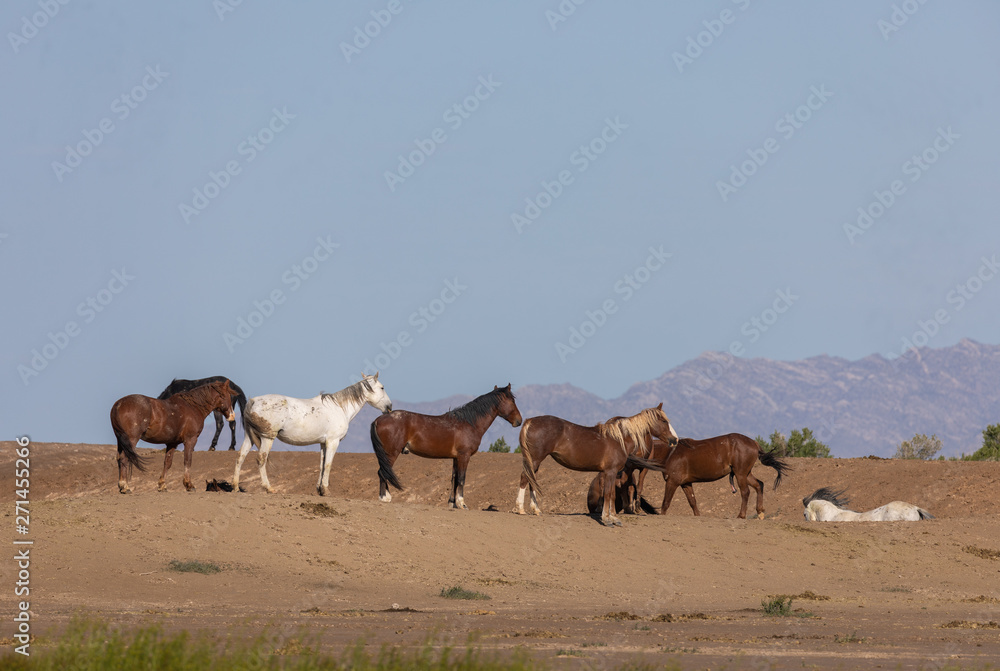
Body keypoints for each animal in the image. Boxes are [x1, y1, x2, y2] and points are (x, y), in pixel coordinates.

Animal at [232, 373, 392, 496]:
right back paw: (268, 488)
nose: (389, 407)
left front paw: (319, 489)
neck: (339, 407)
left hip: (249, 437)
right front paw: (326, 490)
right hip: (267, 438)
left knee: (240, 456)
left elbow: (321, 465)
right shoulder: (333, 442)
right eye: (382, 387)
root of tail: (253, 401)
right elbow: (328, 464)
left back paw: (235, 487)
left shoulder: (323, 443)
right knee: (261, 459)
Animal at [370, 384, 522, 509]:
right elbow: (462, 479)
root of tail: (378, 419)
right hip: (391, 453)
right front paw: (462, 504)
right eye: (512, 401)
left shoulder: (456, 458)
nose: (519, 421)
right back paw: (385, 498)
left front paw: (452, 503)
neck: (469, 423)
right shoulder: (464, 456)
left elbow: (454, 479)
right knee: (383, 472)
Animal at [514, 404, 679, 527]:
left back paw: (536, 509)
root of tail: (530, 421)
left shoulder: (611, 473)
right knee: (524, 478)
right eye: (664, 421)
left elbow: (611, 494)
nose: (675, 439)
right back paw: (520, 508)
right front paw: (607, 519)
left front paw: (613, 518)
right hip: (535, 459)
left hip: (534, 462)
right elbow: (608, 494)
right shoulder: (611, 472)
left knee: (531, 480)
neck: (619, 439)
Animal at [623, 433, 791, 520]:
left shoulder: (672, 482)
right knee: (759, 485)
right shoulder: (686, 484)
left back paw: (741, 515)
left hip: (740, 474)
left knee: (745, 492)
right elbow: (693, 502)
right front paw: (698, 516)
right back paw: (760, 511)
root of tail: (754, 443)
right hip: (746, 473)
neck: (669, 453)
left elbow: (666, 503)